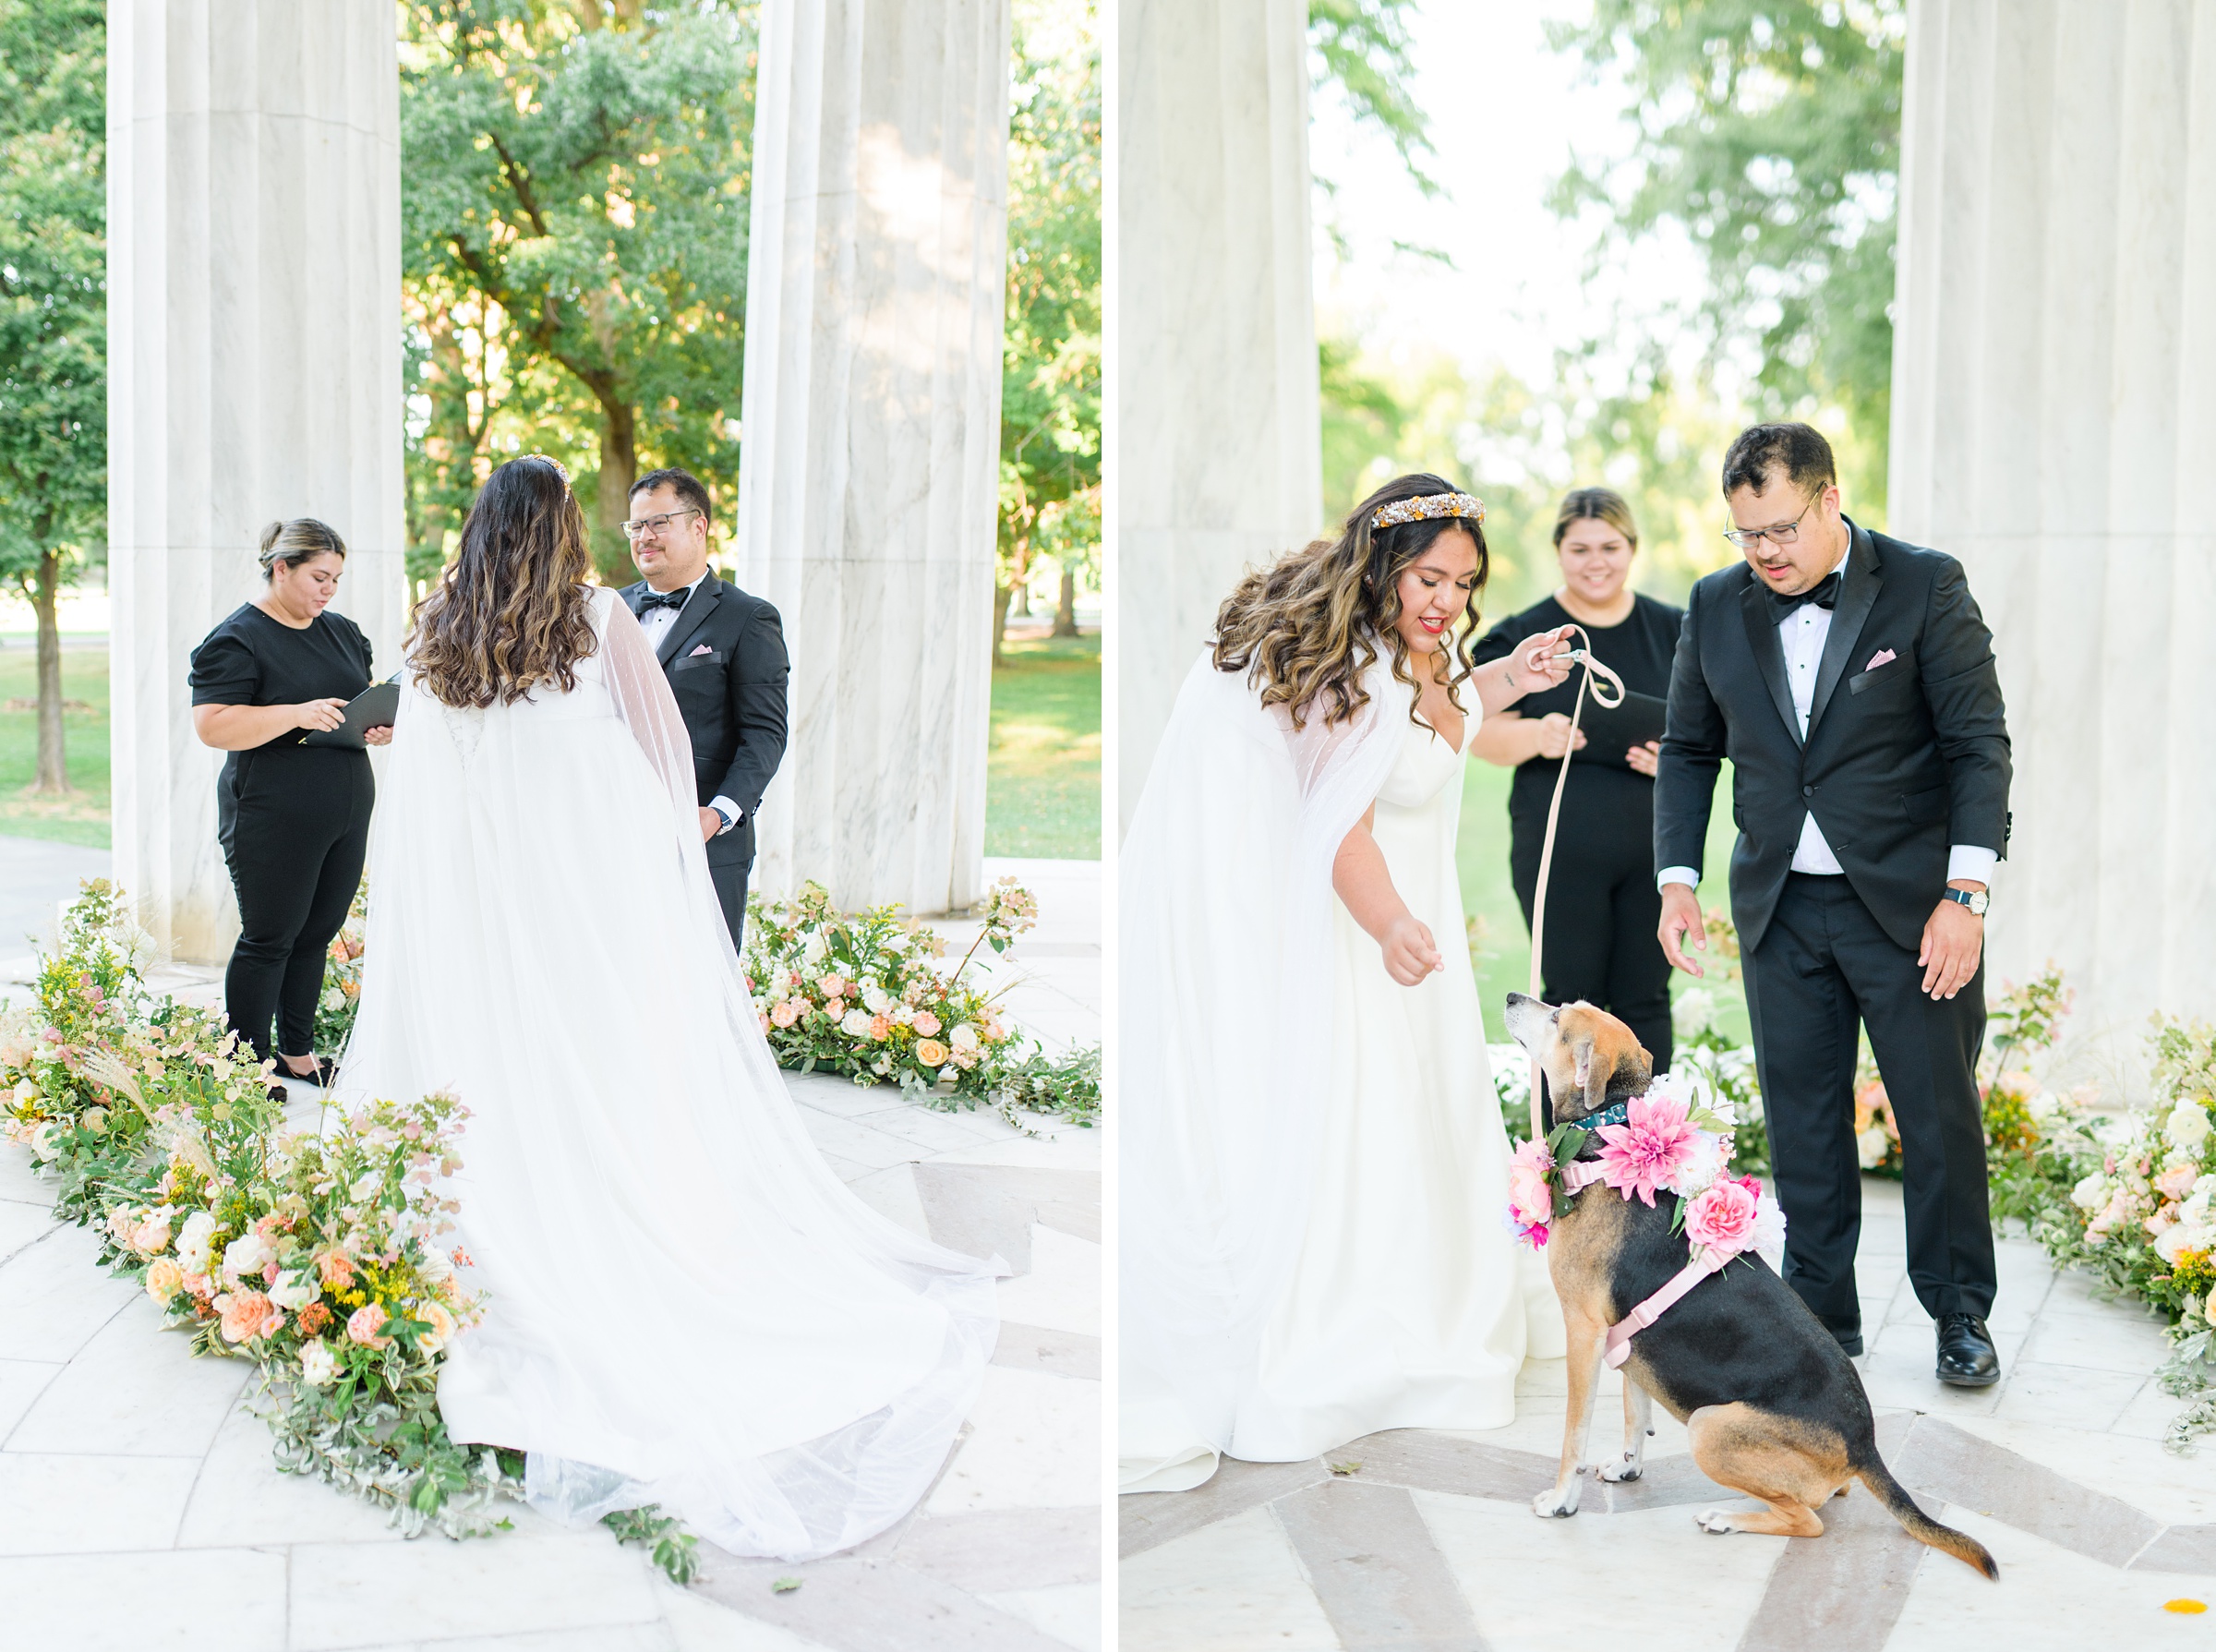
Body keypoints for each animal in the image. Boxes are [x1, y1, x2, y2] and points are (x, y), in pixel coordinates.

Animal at [1515, 984, 2003, 1578]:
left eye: (1558, 1019)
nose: (1511, 994)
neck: (1605, 1134)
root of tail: (1865, 1447)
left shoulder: (1583, 1331)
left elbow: (1574, 1432)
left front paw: (1563, 1499)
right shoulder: (1627, 1339)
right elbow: (1635, 1409)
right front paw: (1629, 1466)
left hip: (1708, 1427)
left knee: (1808, 1521)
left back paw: (1727, 1518)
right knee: (1825, 1499)